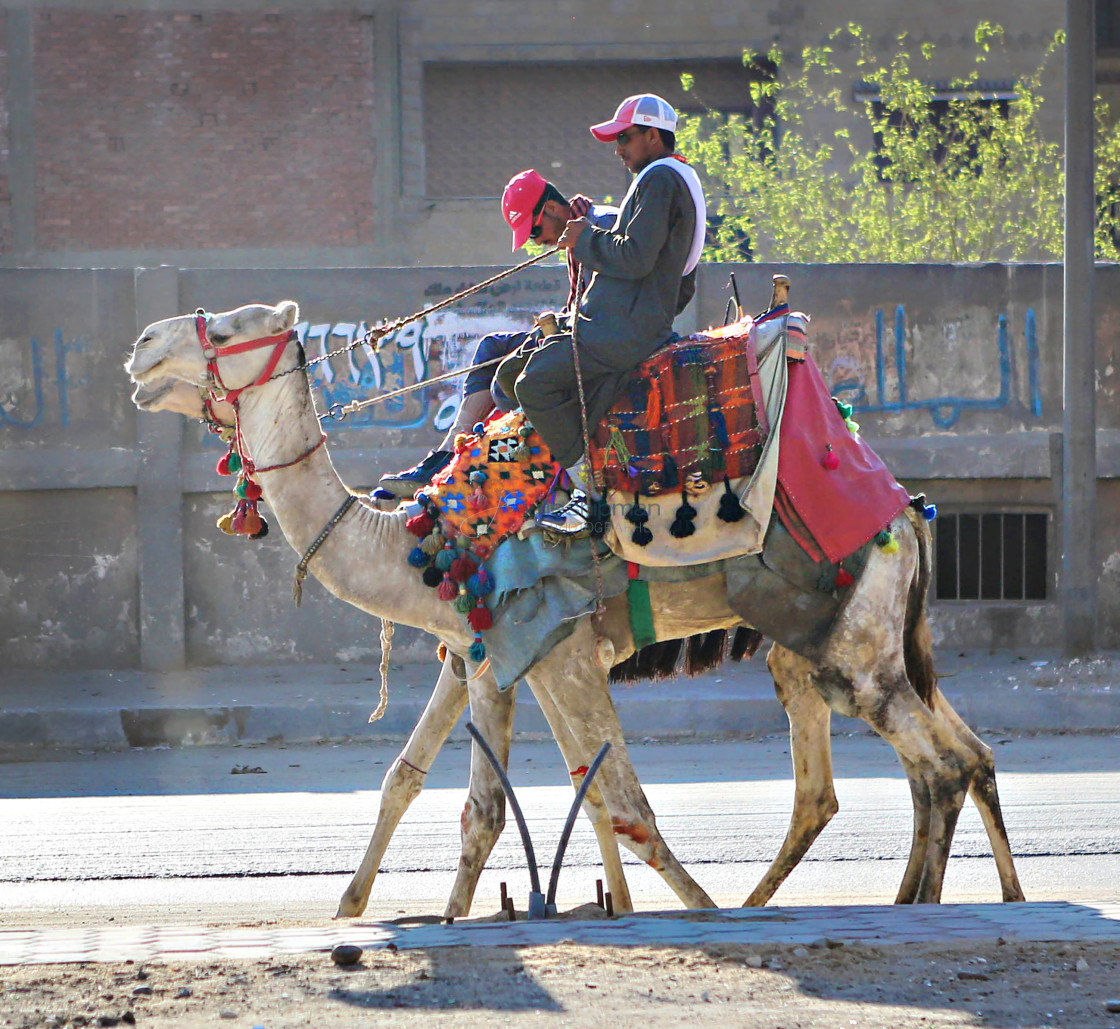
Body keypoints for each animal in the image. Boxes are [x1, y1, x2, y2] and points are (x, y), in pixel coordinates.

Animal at [124, 300, 1025, 918]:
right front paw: (365, 910)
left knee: (931, 762)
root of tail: (908, 508)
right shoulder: (487, 652)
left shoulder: (556, 647)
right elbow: (442, 791)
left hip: (852, 640)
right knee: (937, 762)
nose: (141, 346)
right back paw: (959, 897)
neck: (419, 538)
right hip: (836, 643)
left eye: (227, 328)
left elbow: (620, 804)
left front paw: (682, 912)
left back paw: (907, 906)